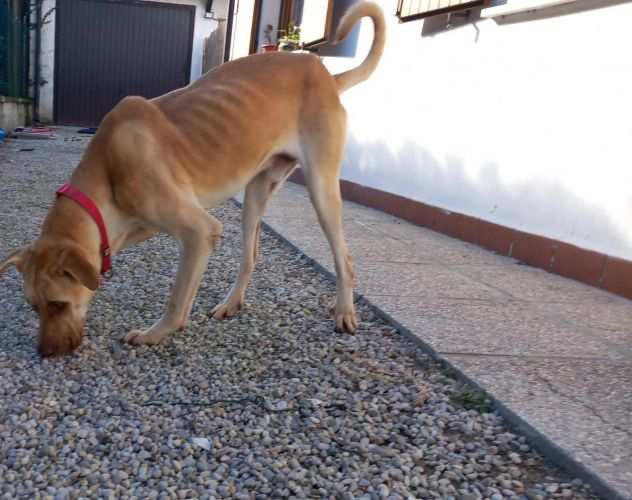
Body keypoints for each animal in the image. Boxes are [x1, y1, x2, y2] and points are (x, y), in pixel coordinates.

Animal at [0, 2, 386, 356]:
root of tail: (327, 76)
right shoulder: (132, 228)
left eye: (57, 304)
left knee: (345, 259)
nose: (45, 352)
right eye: (34, 306)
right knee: (250, 256)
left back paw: (344, 311)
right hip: (256, 194)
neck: (107, 167)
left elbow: (177, 296)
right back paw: (232, 302)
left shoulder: (199, 231)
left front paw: (156, 333)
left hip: (321, 190)